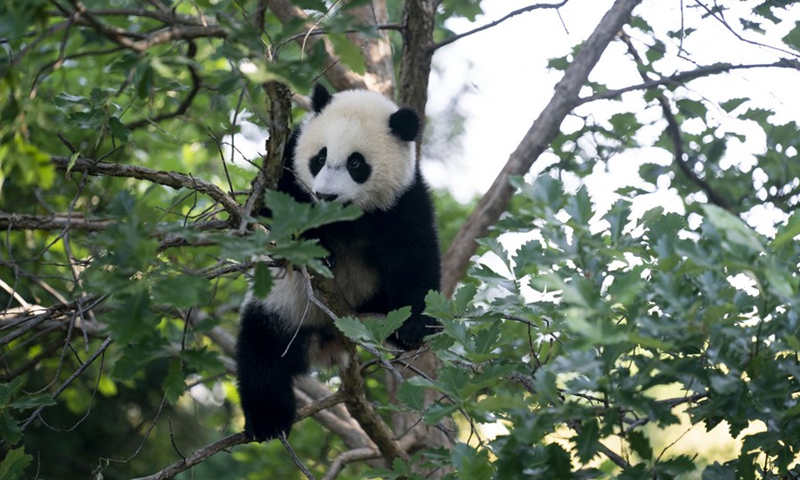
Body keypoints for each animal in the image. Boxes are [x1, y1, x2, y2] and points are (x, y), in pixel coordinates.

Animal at [236, 84, 442, 442]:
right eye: (319, 158)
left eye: (356, 163)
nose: (325, 196)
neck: (345, 216)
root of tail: (326, 340)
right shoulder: (287, 170)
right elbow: (269, 213)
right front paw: (317, 250)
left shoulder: (402, 200)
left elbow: (414, 254)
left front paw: (415, 326)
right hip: (282, 307)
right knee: (260, 352)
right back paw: (267, 420)